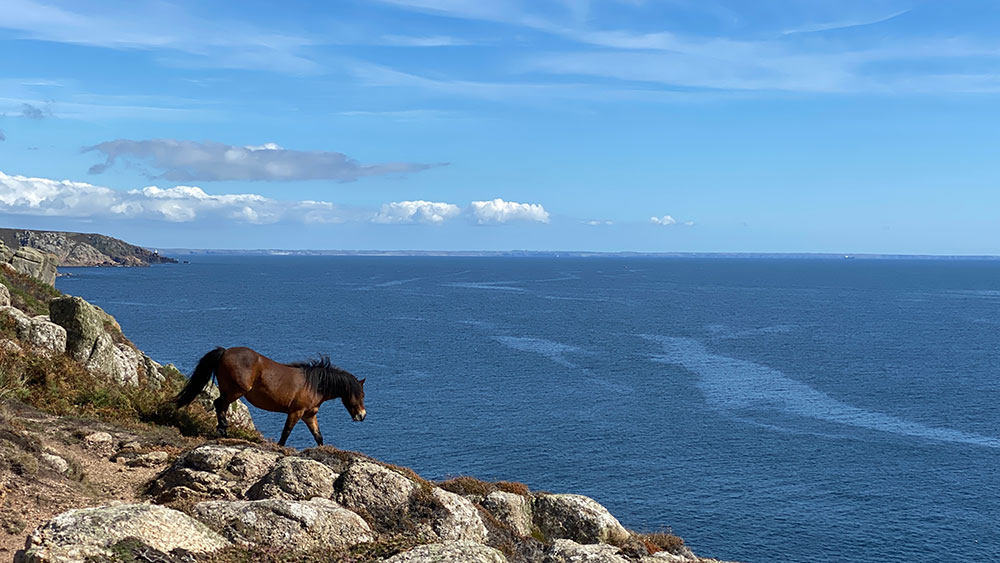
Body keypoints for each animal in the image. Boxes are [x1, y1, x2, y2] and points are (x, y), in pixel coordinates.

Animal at [176, 346, 368, 448]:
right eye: (360, 394)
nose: (362, 416)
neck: (314, 384)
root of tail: (224, 352)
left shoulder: (309, 415)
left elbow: (318, 436)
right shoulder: (296, 412)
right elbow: (286, 433)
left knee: (221, 406)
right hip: (235, 391)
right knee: (219, 404)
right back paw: (223, 429)